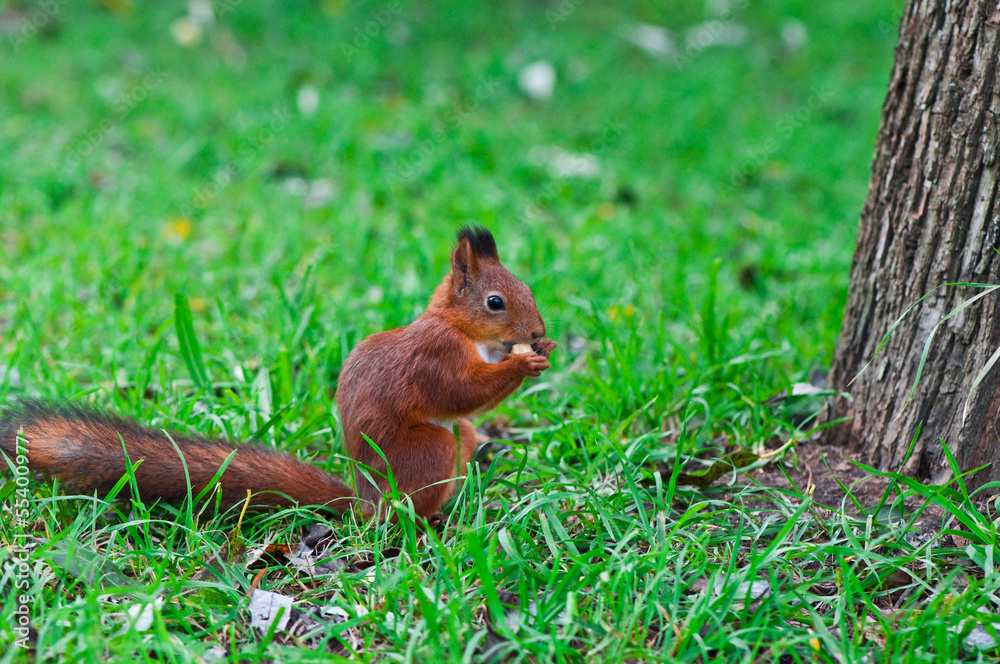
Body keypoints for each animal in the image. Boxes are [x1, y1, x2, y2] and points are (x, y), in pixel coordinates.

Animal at [0, 227, 555, 520]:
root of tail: (364, 499)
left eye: (528, 287)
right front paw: (524, 360)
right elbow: (461, 391)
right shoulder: (434, 357)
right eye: (496, 301)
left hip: (456, 441)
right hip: (430, 451)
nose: (538, 329)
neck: (456, 326)